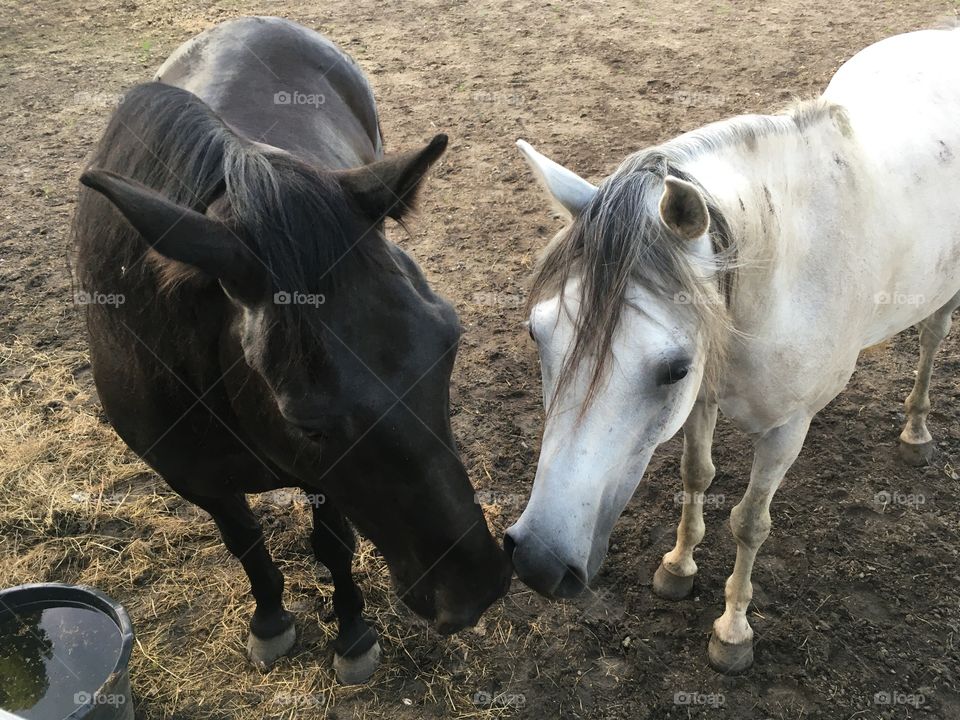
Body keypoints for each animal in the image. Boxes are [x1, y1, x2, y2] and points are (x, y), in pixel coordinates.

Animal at [71, 16, 511, 684]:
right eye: (308, 425)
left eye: (449, 347)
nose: (475, 588)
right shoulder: (194, 477)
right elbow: (245, 541)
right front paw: (271, 619)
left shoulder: (325, 483)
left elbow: (332, 545)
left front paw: (352, 633)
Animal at [507, 26, 960, 673]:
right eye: (536, 333)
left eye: (674, 368)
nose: (538, 561)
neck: (782, 280)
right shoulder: (706, 400)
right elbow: (697, 475)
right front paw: (678, 566)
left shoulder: (785, 428)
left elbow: (749, 524)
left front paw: (733, 630)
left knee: (931, 338)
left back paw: (917, 432)